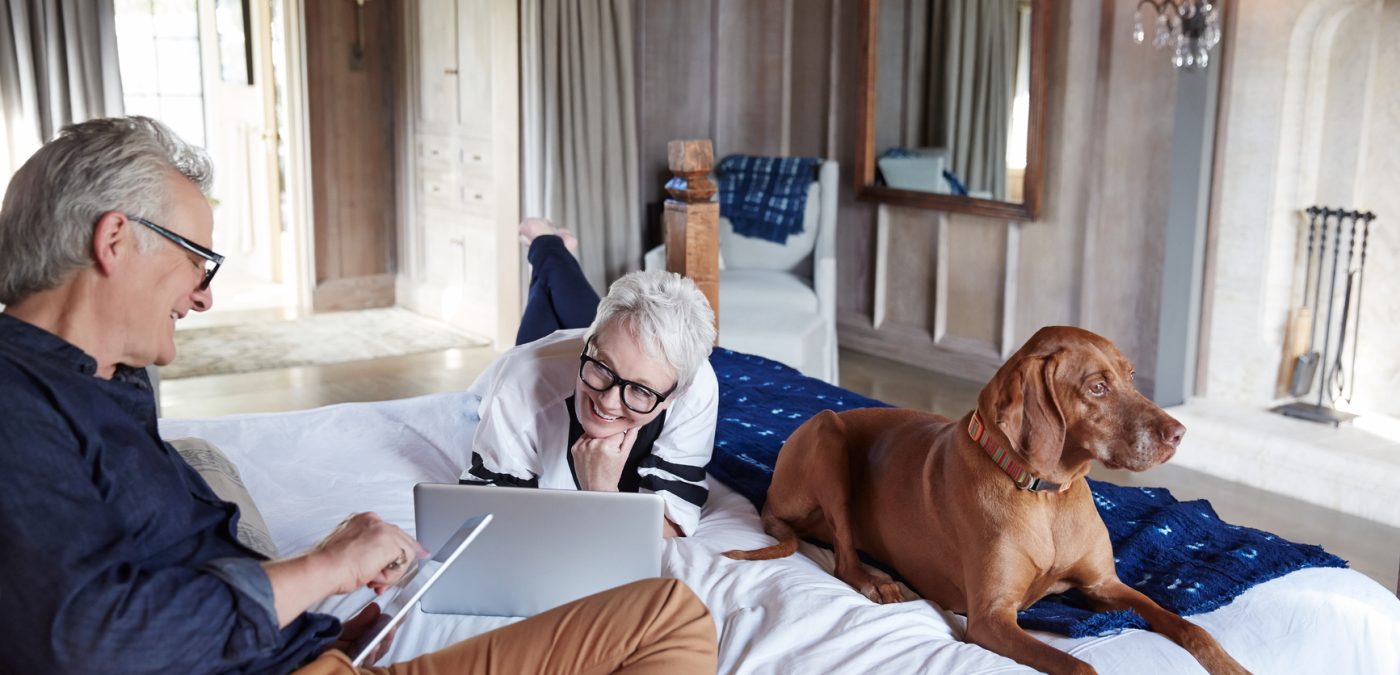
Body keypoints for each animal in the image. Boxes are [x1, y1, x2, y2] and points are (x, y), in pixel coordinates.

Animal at [722, 326, 1248, 675]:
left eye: (1131, 376)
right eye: (1097, 388)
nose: (1178, 433)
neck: (1045, 497)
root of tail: (769, 497)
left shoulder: (1104, 585)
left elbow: (1189, 626)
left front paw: (1232, 665)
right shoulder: (992, 619)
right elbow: (1081, 667)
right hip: (827, 432)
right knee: (843, 557)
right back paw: (877, 580)